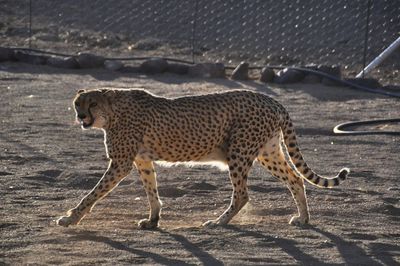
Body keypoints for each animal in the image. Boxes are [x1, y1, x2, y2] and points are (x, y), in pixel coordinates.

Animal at [57, 88, 350, 228]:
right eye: (77, 104)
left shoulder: (120, 163)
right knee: (295, 179)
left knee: (242, 194)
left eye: (92, 103)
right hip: (268, 152)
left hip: (239, 152)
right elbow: (152, 191)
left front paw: (71, 218)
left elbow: (92, 194)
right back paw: (303, 219)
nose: (80, 116)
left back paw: (219, 222)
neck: (112, 109)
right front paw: (153, 220)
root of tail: (271, 99)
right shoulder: (142, 161)